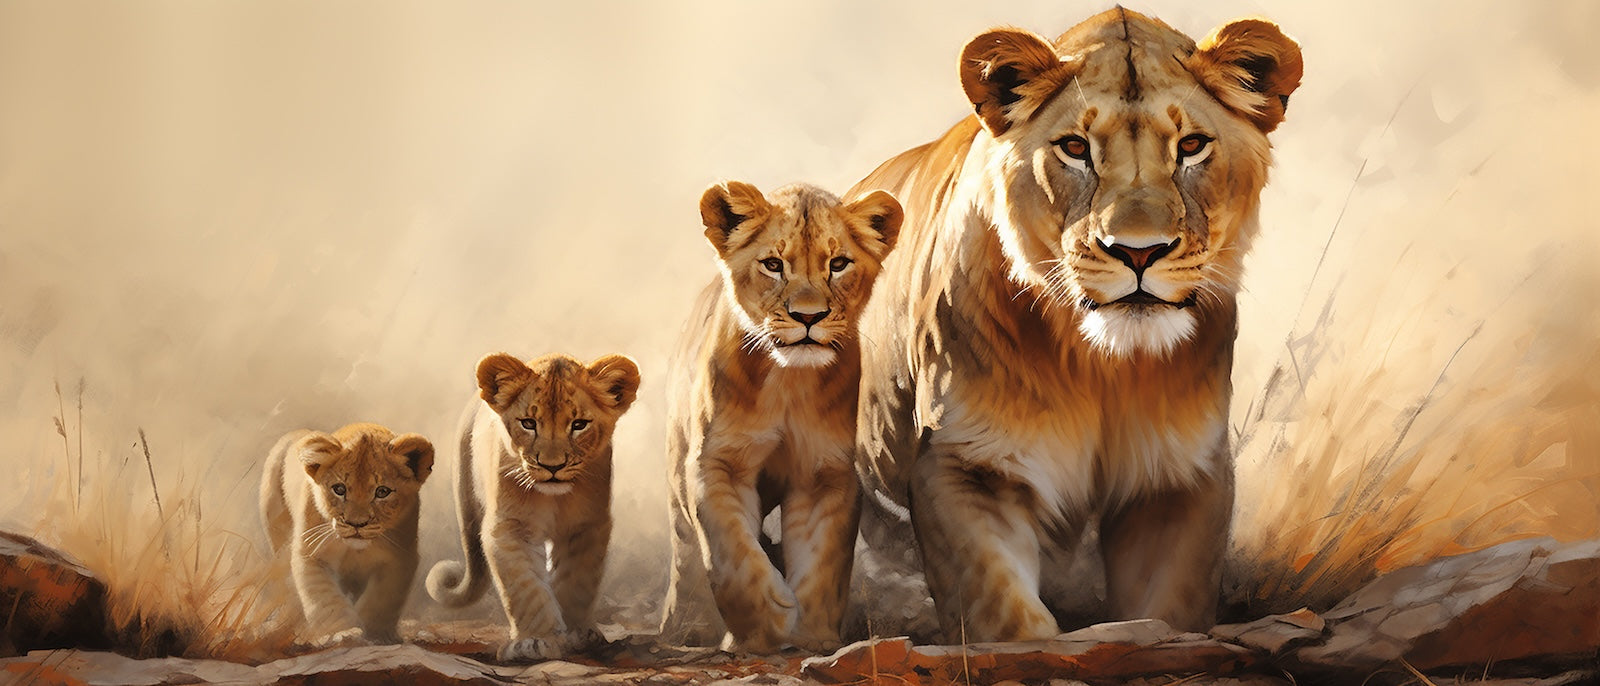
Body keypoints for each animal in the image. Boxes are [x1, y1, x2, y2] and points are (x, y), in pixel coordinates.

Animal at [260, 422, 435, 647]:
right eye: (339, 489)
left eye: (382, 492)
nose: (356, 524)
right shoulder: (312, 553)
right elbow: (325, 598)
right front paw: (341, 633)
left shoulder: (400, 557)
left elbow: (381, 600)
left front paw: (375, 635)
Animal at [426, 352, 641, 661]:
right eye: (528, 423)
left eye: (579, 425)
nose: (552, 466)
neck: (554, 498)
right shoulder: (510, 527)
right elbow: (525, 586)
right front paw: (535, 642)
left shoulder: (587, 525)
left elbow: (577, 580)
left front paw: (575, 634)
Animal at [658, 182, 903, 653]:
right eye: (773, 264)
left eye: (838, 264)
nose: (808, 317)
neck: (789, 382)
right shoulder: (718, 462)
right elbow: (731, 551)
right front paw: (767, 625)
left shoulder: (824, 473)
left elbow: (823, 563)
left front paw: (812, 635)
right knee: (684, 552)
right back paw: (683, 628)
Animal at [850, 8, 1302, 642]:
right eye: (1074, 148)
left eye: (1191, 146)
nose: (1138, 252)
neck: (1103, 365)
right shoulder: (964, 463)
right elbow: (1004, 614)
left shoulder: (1180, 478)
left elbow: (1167, 610)